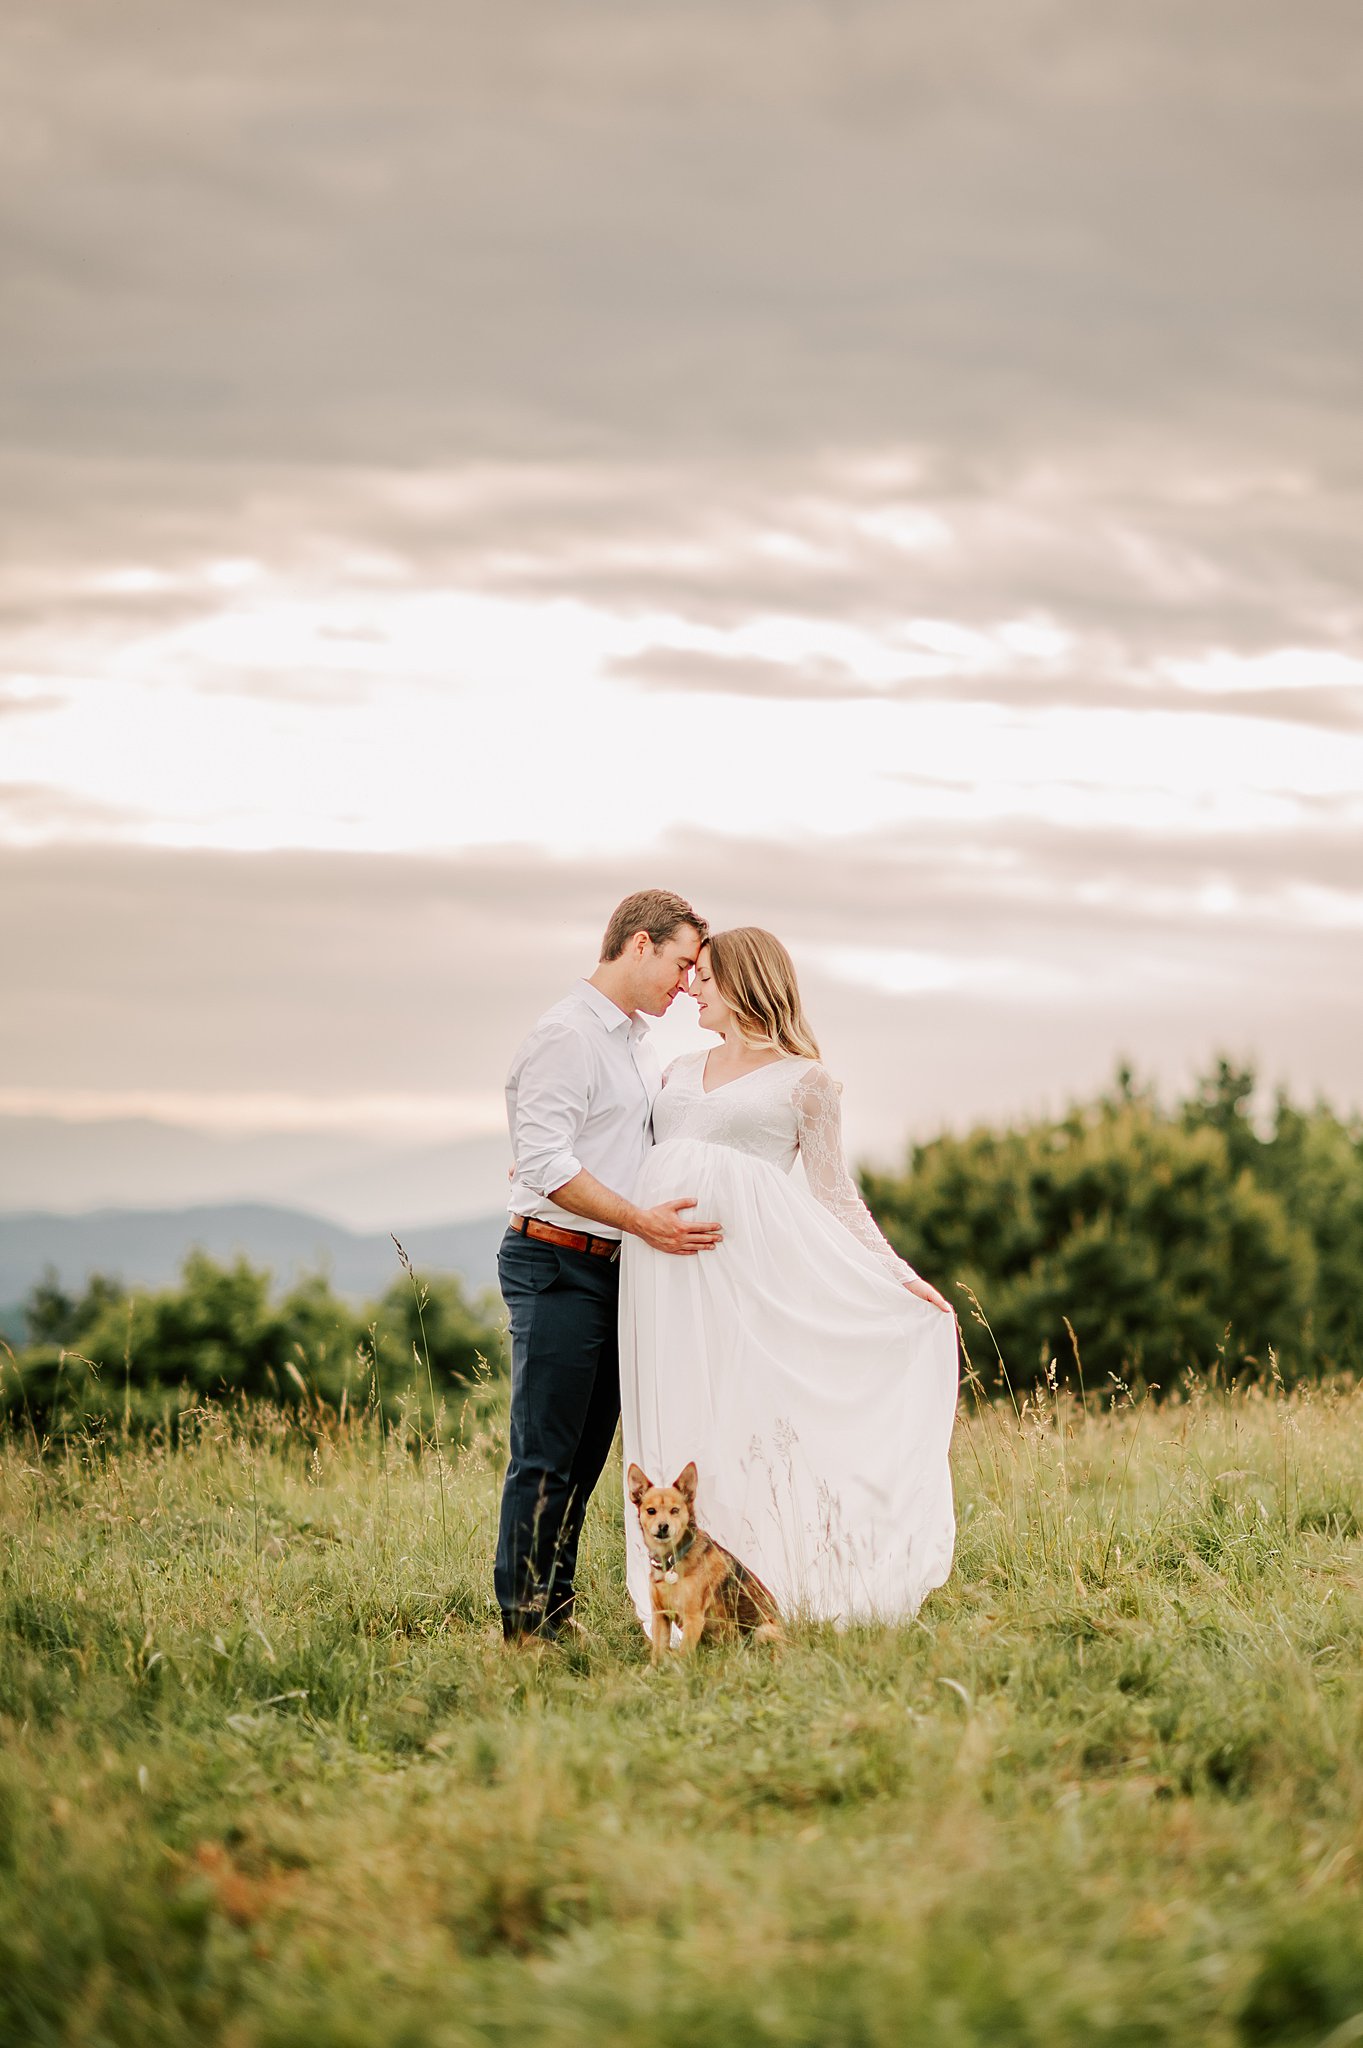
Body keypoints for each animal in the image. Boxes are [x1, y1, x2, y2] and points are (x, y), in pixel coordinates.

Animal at [622, 1458, 773, 1662]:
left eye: (675, 1510)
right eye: (651, 1511)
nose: (663, 1527)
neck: (672, 1560)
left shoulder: (693, 1618)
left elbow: (684, 1654)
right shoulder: (660, 1616)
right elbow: (657, 1654)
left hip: (762, 1631)